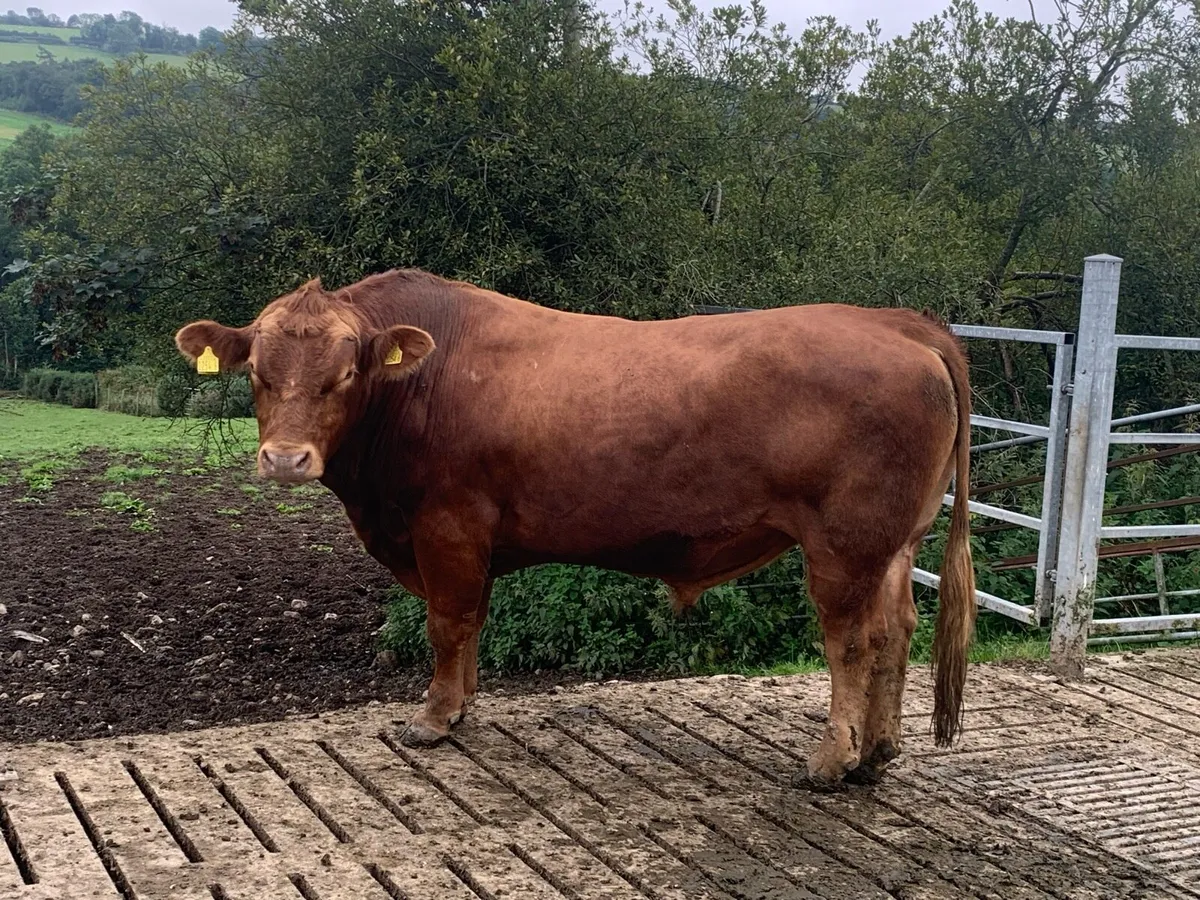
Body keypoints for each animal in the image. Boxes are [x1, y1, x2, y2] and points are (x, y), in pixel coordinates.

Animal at [175, 269, 976, 788]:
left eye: (344, 375)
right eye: (257, 373)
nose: (285, 459)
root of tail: (894, 321)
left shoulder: (447, 525)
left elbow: (446, 621)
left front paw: (433, 718)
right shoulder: (473, 538)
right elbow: (472, 622)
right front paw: (463, 704)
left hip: (845, 543)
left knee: (853, 641)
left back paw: (833, 760)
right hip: (897, 542)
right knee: (898, 629)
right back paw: (879, 751)